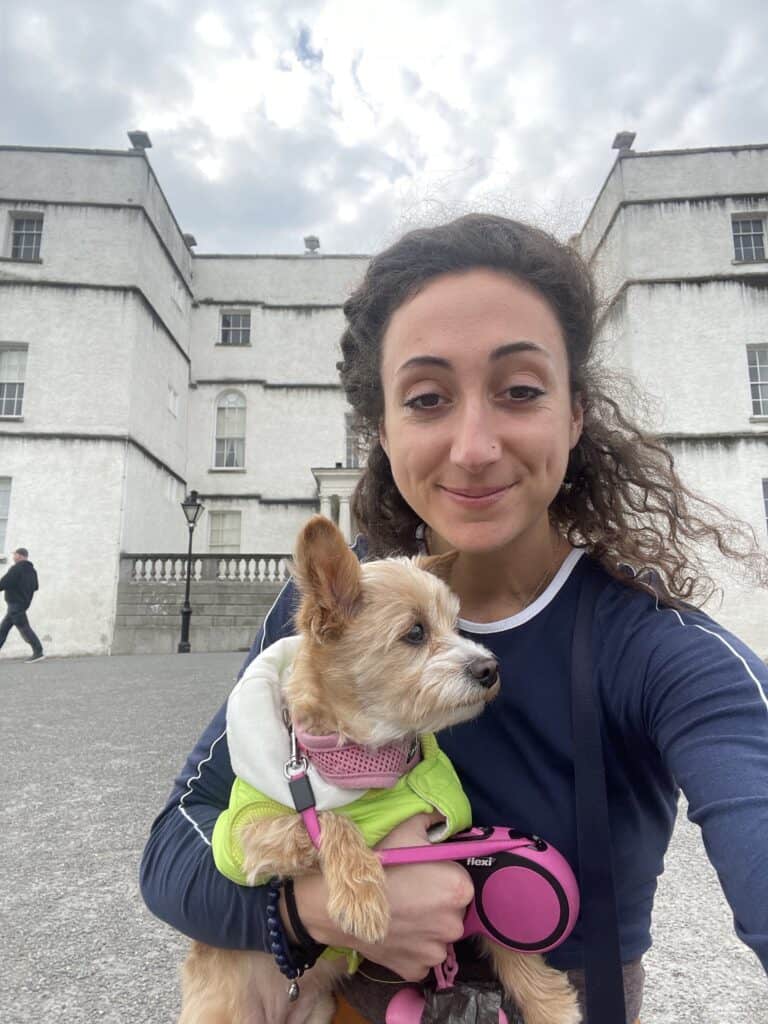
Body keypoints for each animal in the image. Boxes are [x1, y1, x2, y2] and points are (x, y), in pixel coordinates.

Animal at [179, 516, 577, 1024]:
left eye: (454, 625)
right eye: (415, 632)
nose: (490, 668)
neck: (370, 759)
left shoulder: (449, 843)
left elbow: (503, 939)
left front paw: (548, 1001)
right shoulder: (245, 835)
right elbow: (328, 818)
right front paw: (361, 896)